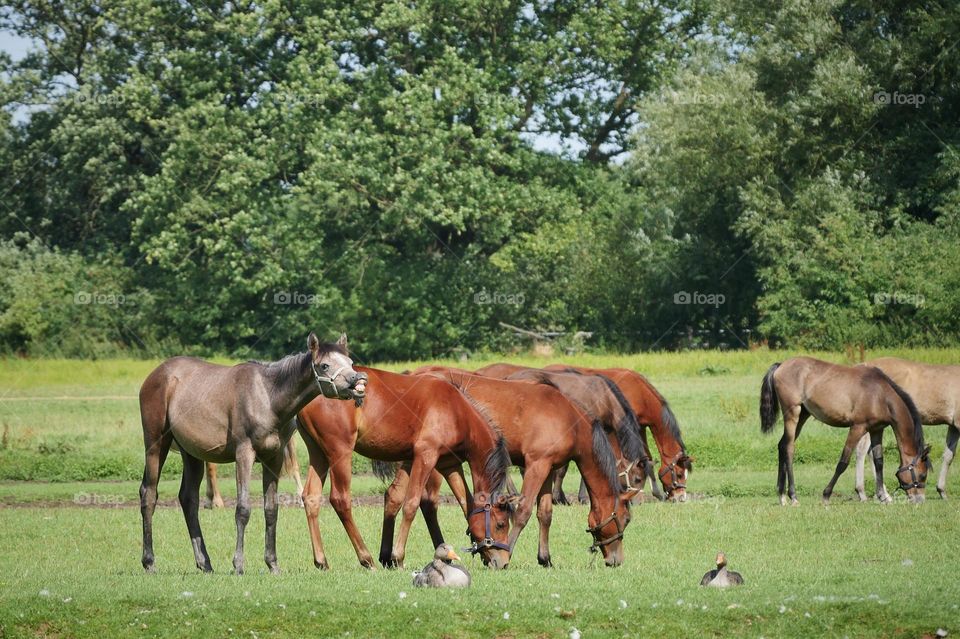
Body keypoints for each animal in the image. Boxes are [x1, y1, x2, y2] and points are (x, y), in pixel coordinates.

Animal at [139, 336, 368, 576]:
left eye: (350, 362)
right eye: (324, 365)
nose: (358, 380)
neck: (268, 397)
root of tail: (155, 375)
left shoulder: (274, 458)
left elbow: (271, 509)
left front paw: (272, 564)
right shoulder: (244, 453)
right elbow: (243, 509)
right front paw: (238, 564)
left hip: (191, 453)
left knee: (188, 499)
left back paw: (204, 563)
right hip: (156, 445)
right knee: (149, 494)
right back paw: (149, 562)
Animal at [296, 364, 512, 568]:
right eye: (501, 524)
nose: (503, 562)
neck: (456, 411)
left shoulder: (446, 464)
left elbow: (462, 504)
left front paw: (388, 557)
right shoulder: (426, 457)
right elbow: (411, 504)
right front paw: (398, 556)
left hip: (318, 454)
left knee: (311, 497)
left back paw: (321, 561)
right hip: (340, 452)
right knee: (340, 500)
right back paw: (366, 558)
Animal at [398, 368, 636, 568]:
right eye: (625, 519)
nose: (616, 560)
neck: (568, 420)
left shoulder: (548, 468)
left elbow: (545, 513)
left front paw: (545, 558)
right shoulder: (536, 465)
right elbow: (523, 512)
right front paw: (508, 551)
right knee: (426, 504)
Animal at [756, 356, 928, 504]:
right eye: (922, 475)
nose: (919, 500)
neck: (880, 395)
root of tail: (781, 365)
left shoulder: (876, 430)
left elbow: (879, 462)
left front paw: (882, 497)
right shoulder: (857, 428)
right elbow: (843, 462)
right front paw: (826, 495)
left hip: (802, 415)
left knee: (782, 445)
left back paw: (782, 496)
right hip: (793, 414)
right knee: (789, 448)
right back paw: (793, 496)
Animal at [852, 360, 956, 500]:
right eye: (923, 475)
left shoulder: (954, 426)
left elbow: (948, 456)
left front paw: (942, 491)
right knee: (863, 450)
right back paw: (864, 492)